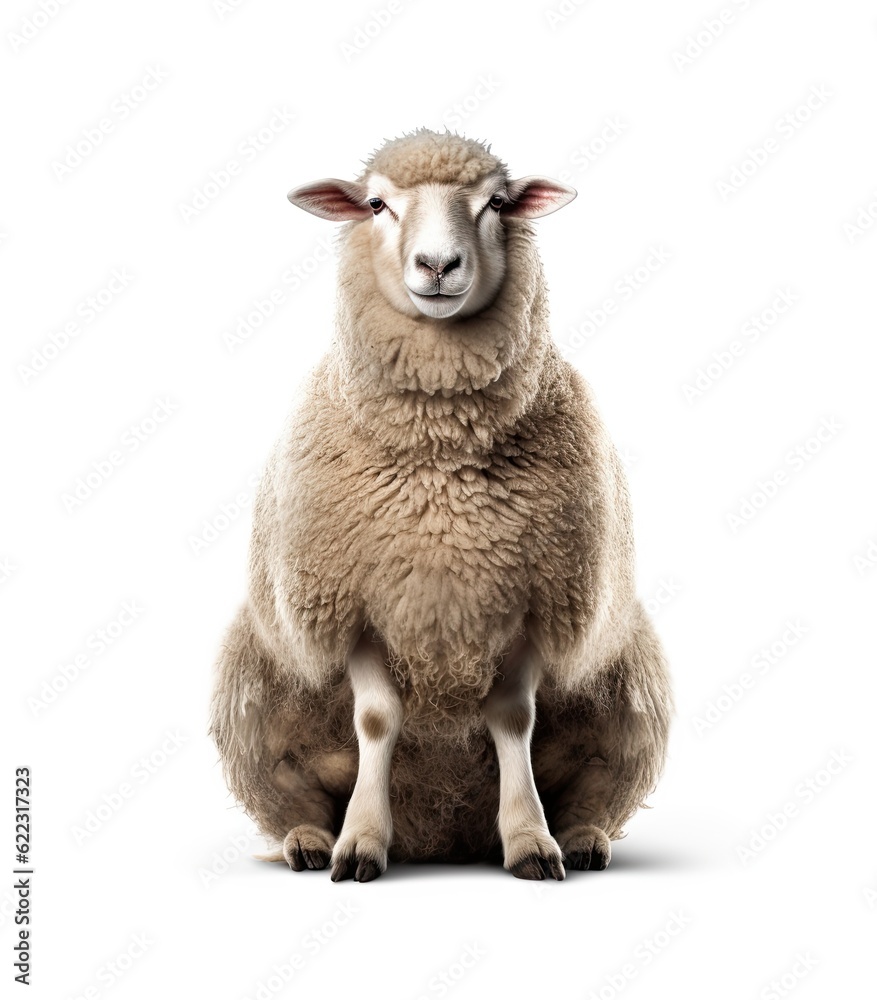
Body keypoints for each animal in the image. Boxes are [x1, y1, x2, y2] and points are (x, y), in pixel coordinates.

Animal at [210, 128, 672, 882]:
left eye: (497, 203)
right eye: (376, 204)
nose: (436, 264)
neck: (439, 461)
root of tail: (442, 835)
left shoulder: (531, 599)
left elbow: (512, 719)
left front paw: (529, 839)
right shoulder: (357, 603)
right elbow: (375, 720)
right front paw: (361, 841)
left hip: (627, 687)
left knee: (603, 783)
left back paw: (580, 836)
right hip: (254, 684)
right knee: (281, 788)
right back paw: (309, 839)